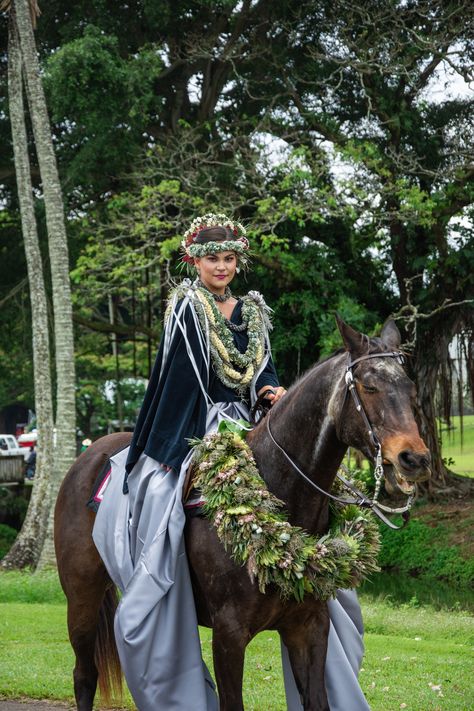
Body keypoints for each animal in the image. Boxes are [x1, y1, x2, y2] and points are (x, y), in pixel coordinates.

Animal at [54, 320, 430, 708]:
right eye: (369, 387)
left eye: (410, 389)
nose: (414, 459)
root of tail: (89, 455)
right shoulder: (229, 634)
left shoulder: (309, 627)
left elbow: (317, 700)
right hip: (82, 597)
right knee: (84, 675)